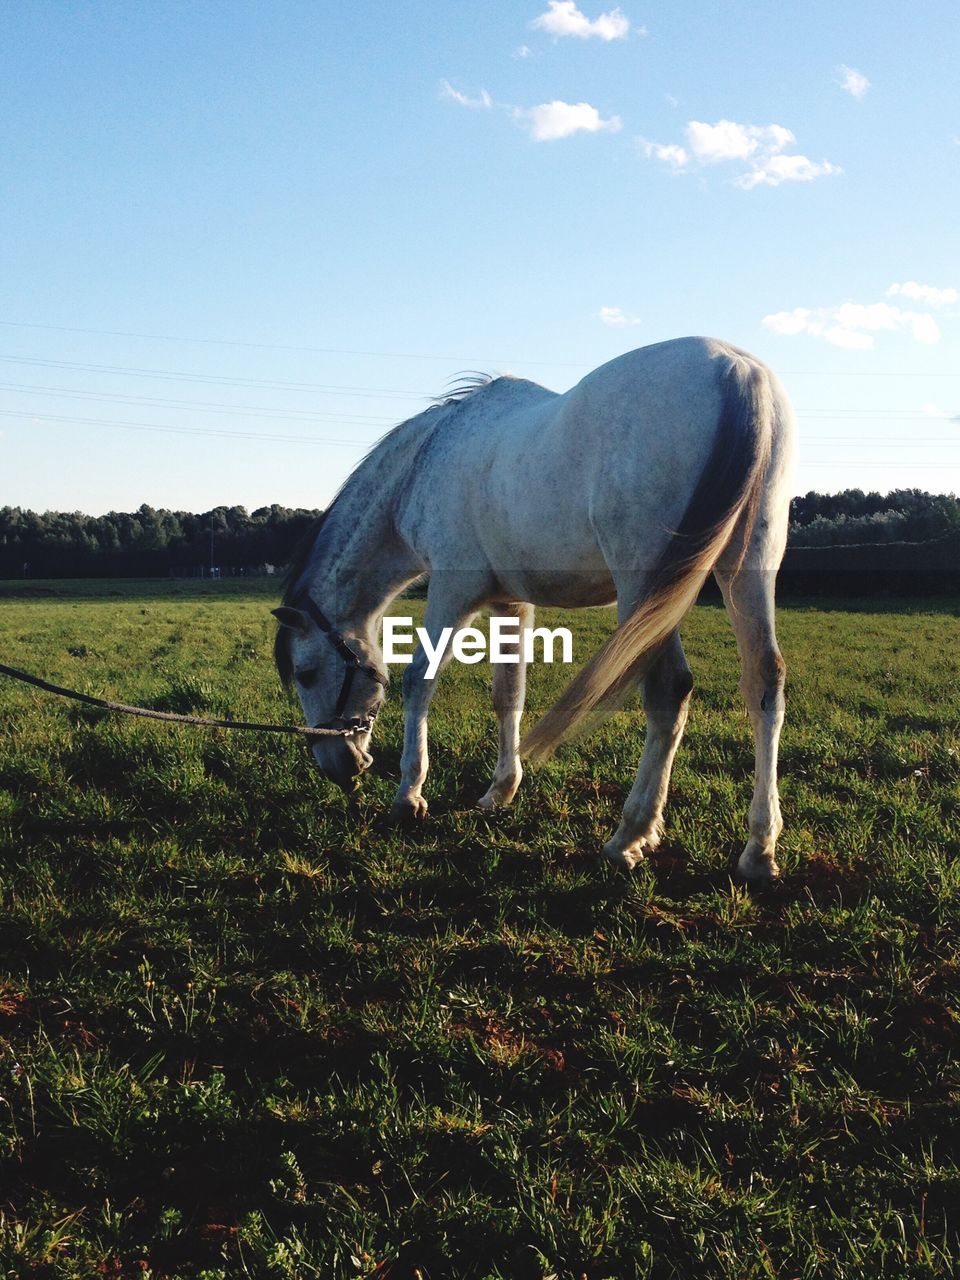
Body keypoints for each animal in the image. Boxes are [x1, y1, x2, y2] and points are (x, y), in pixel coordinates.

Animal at [271, 335, 798, 885]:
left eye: (307, 674)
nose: (337, 766)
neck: (425, 462)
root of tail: (735, 369)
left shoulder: (453, 593)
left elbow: (420, 679)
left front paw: (409, 796)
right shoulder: (510, 603)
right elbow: (509, 693)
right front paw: (500, 790)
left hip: (647, 588)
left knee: (669, 690)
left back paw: (629, 836)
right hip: (748, 567)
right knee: (764, 682)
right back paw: (758, 849)